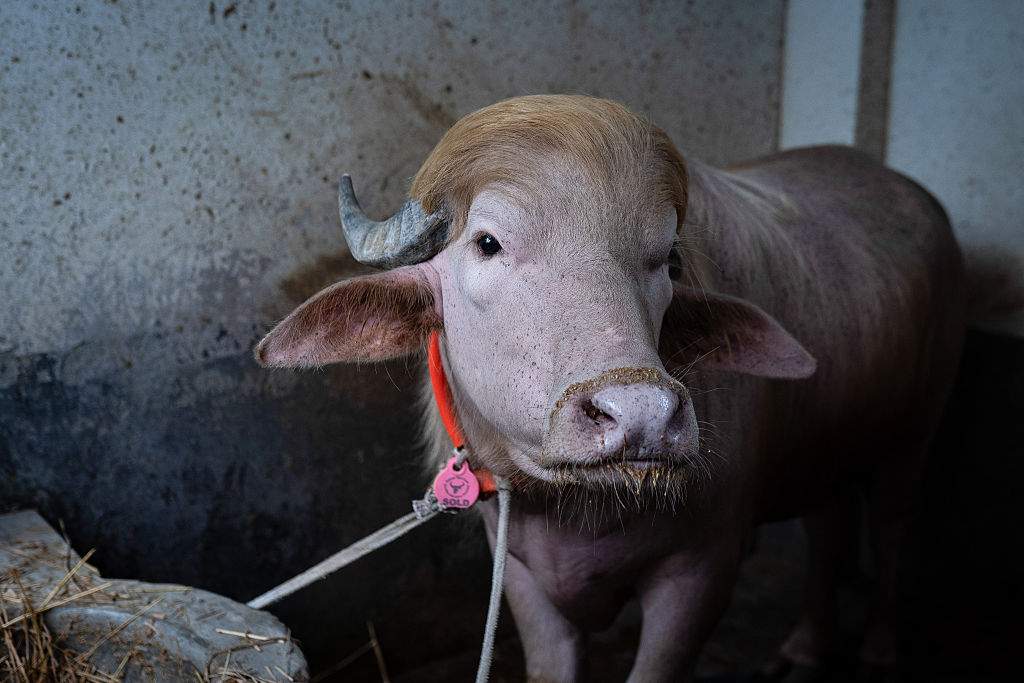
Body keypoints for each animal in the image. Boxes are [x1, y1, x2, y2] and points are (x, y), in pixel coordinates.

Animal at [255, 95, 968, 681]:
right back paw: (806, 646)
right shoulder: (518, 572)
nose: (642, 416)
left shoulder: (704, 569)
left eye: (669, 261)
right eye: (487, 242)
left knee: (891, 527)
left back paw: (878, 649)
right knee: (829, 523)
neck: (580, 512)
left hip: (920, 426)